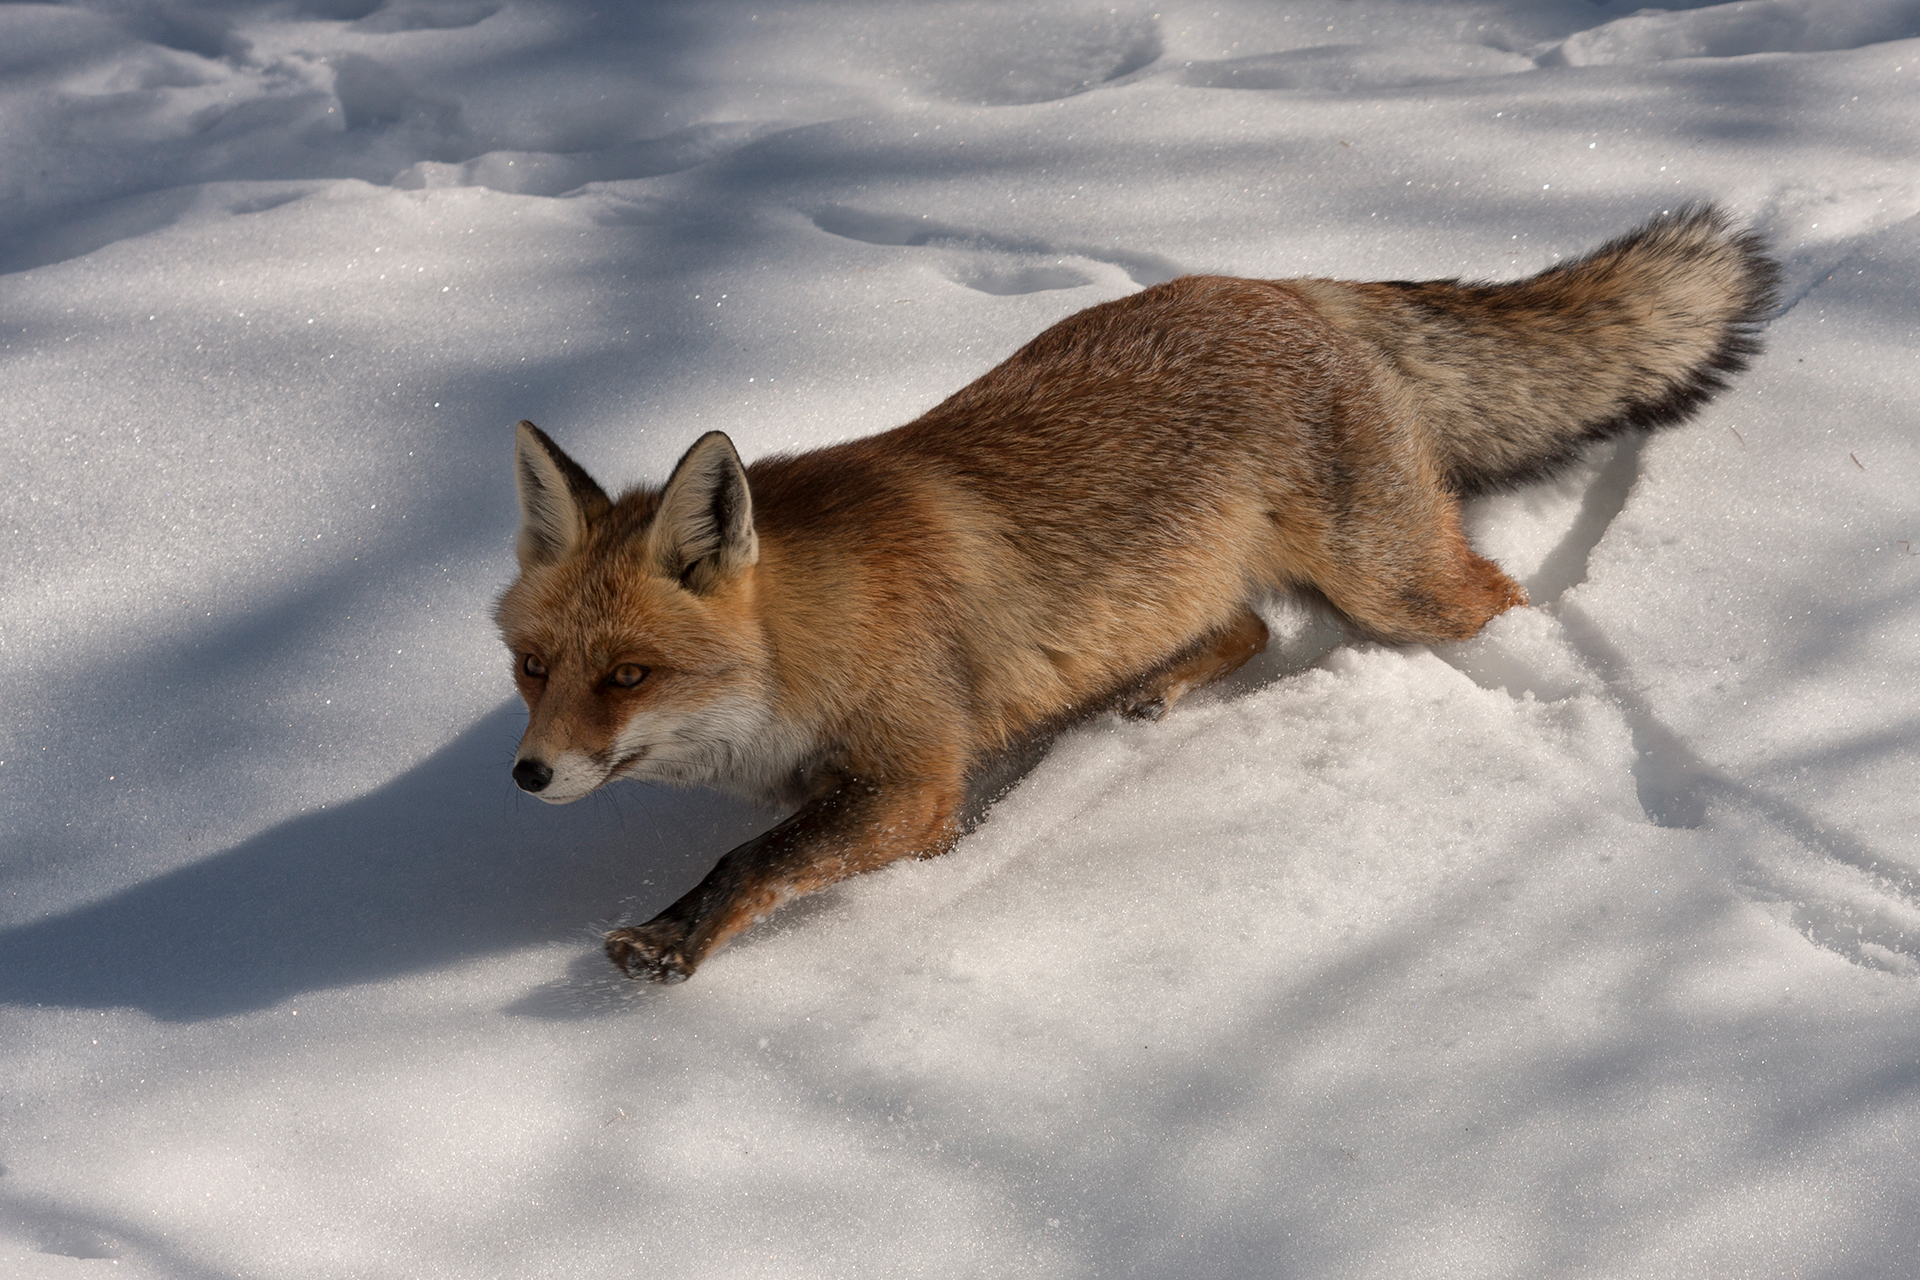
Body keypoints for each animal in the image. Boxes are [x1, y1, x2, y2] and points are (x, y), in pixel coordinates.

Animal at [494, 205, 1778, 983]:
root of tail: (1289, 283)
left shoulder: (915, 786)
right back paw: (1156, 692)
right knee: (1246, 621)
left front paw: (675, 937)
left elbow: (752, 861)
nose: (527, 775)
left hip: (1396, 582)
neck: (817, 632)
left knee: (1494, 596)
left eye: (630, 674)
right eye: (531, 667)